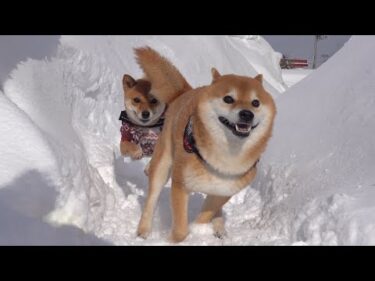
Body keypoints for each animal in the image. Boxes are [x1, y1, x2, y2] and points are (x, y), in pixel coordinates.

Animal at [134, 46, 276, 241]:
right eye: (228, 99)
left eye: (256, 103)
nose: (247, 114)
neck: (226, 156)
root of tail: (186, 92)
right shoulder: (181, 184)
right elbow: (181, 227)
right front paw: (176, 239)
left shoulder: (224, 190)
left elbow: (206, 213)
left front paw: (199, 228)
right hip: (163, 165)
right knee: (152, 198)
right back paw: (144, 229)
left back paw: (219, 227)